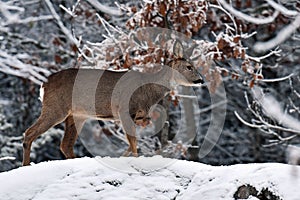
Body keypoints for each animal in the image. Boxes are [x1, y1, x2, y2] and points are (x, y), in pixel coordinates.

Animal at [22, 40, 203, 166]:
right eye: (189, 66)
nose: (201, 80)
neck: (149, 90)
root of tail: (44, 84)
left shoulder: (138, 117)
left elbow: (132, 142)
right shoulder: (125, 110)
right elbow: (133, 143)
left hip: (77, 115)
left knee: (65, 144)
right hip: (56, 108)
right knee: (29, 133)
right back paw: (26, 165)